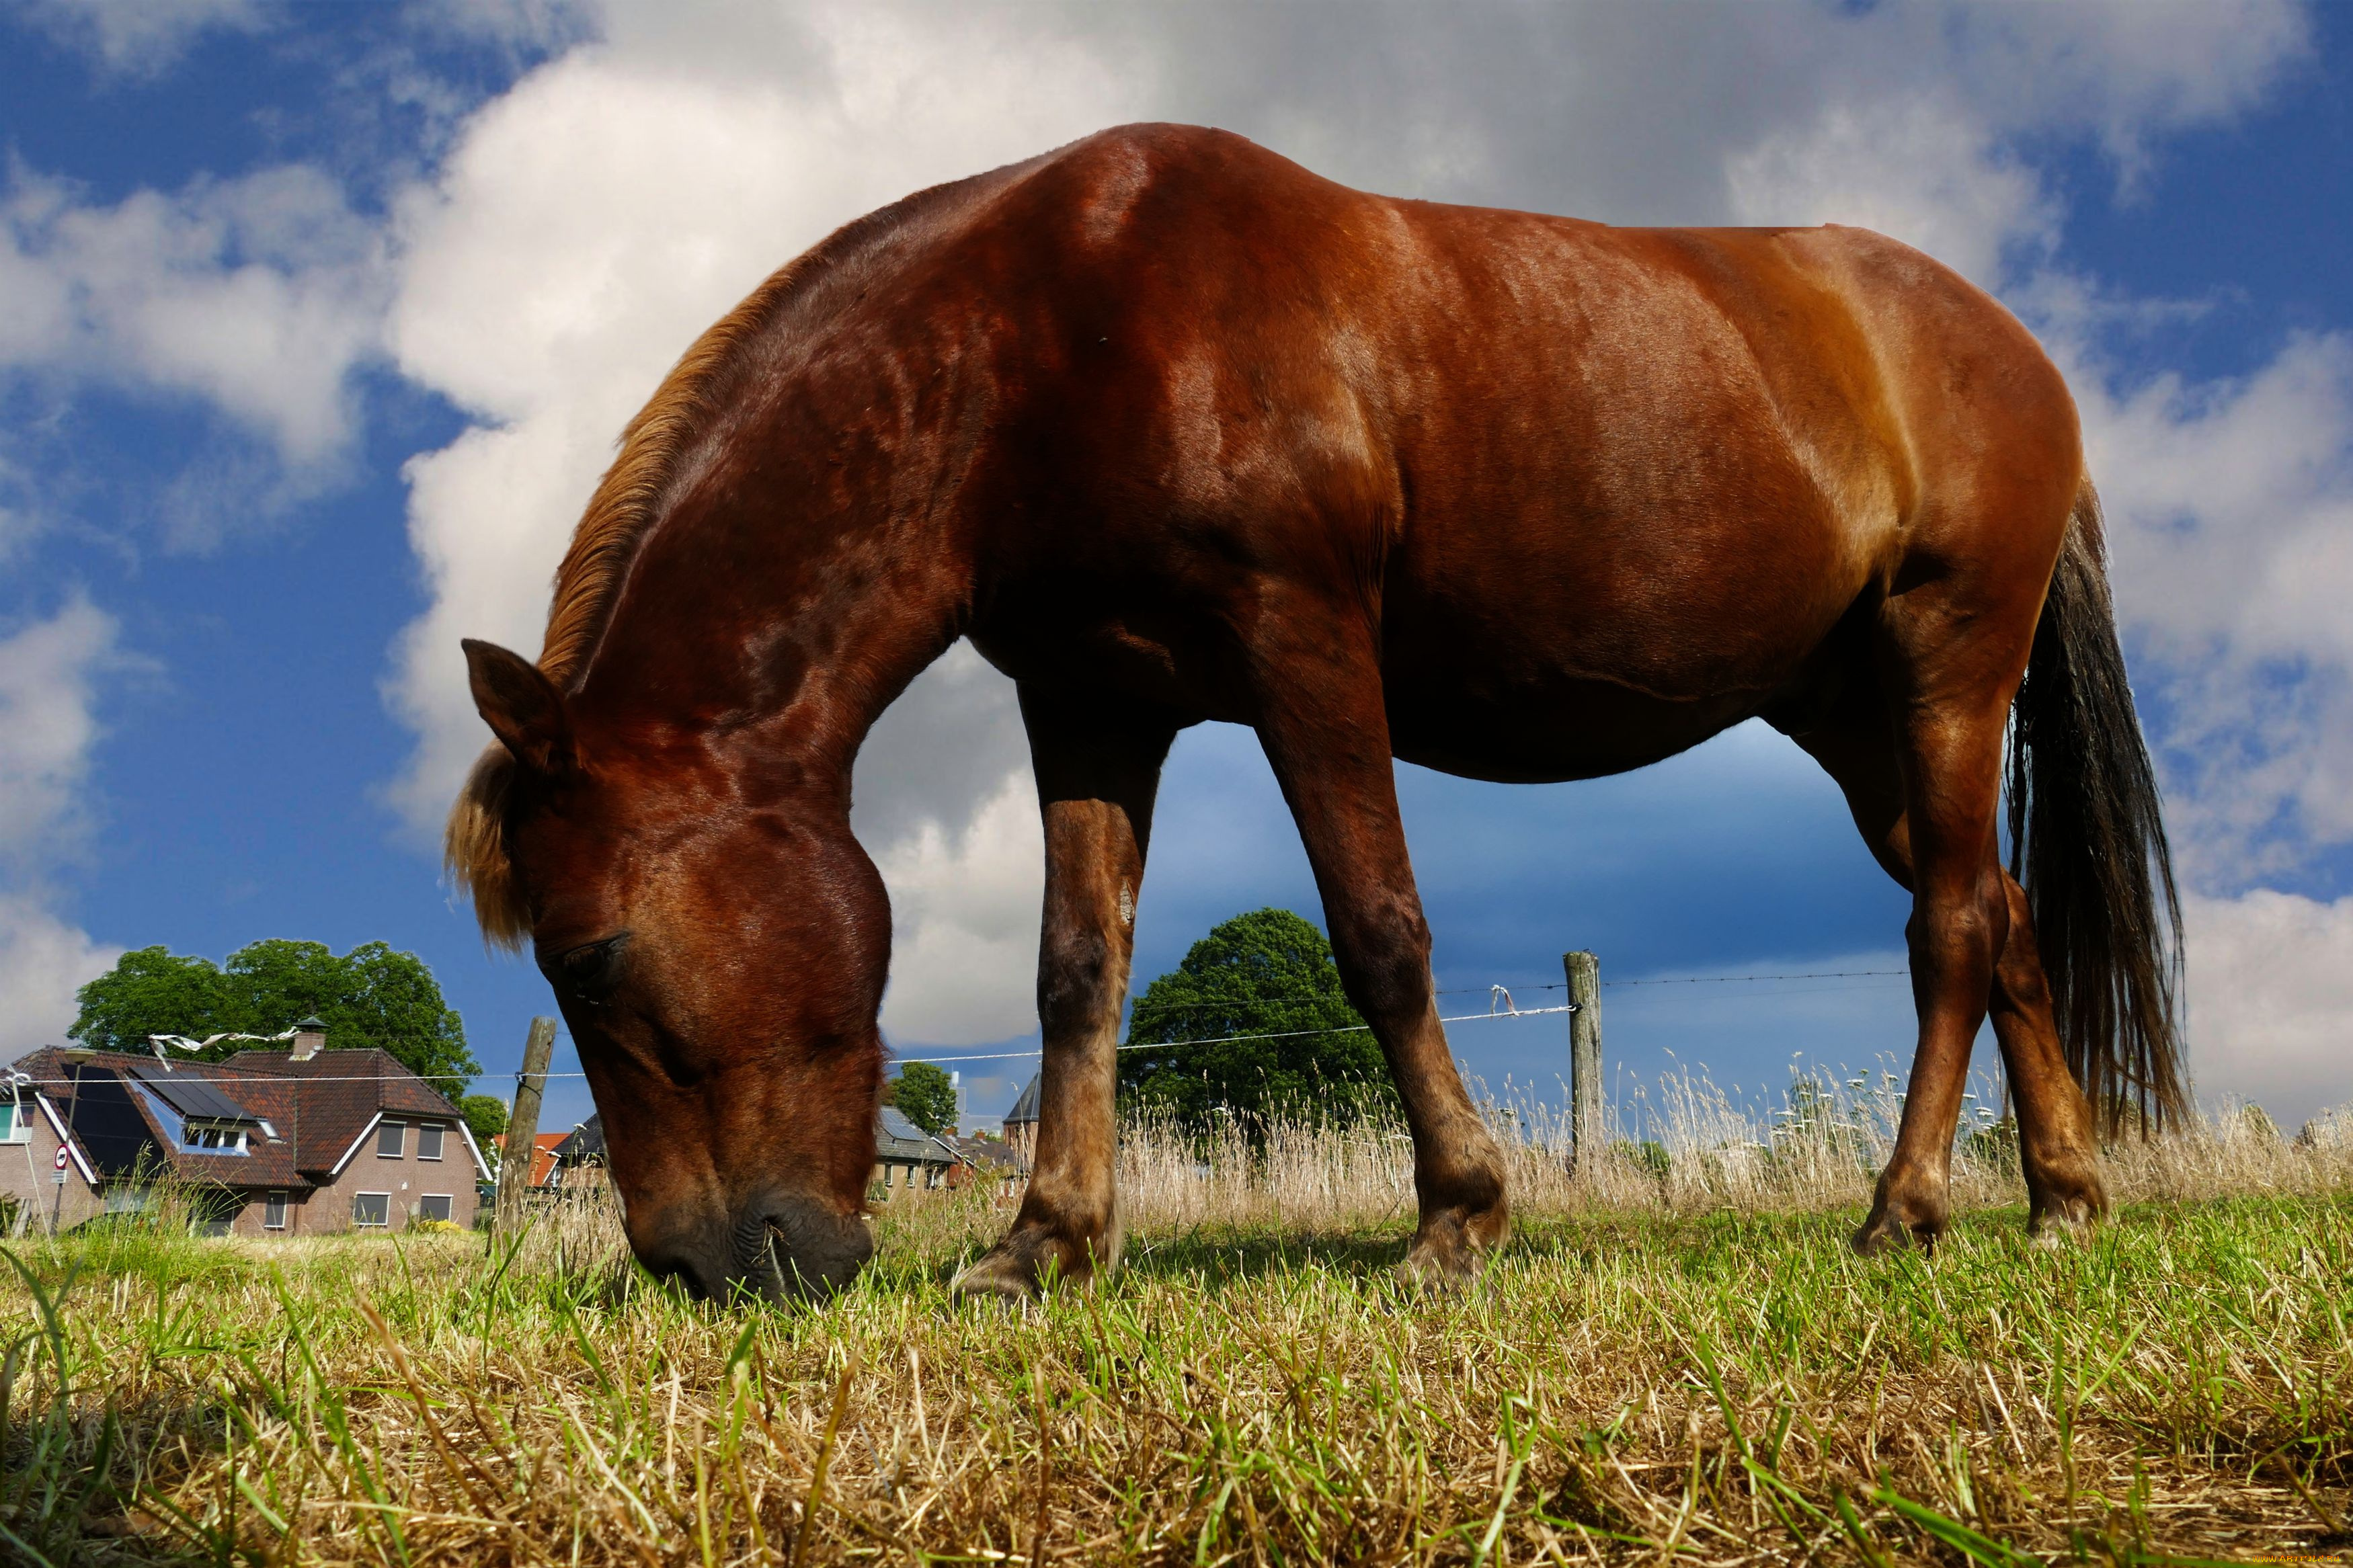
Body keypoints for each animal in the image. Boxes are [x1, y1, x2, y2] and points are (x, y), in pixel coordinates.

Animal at [449, 122, 2174, 1307]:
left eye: (588, 956)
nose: (699, 1265)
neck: (1049, 336)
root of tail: (2013, 352)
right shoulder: (1090, 699)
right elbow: (1077, 972)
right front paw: (1042, 1243)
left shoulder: (1306, 646)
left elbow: (1379, 929)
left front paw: (1457, 1215)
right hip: (1853, 717)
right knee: (2003, 918)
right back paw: (2062, 1199)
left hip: (1945, 666)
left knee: (1949, 929)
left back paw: (1906, 1208)